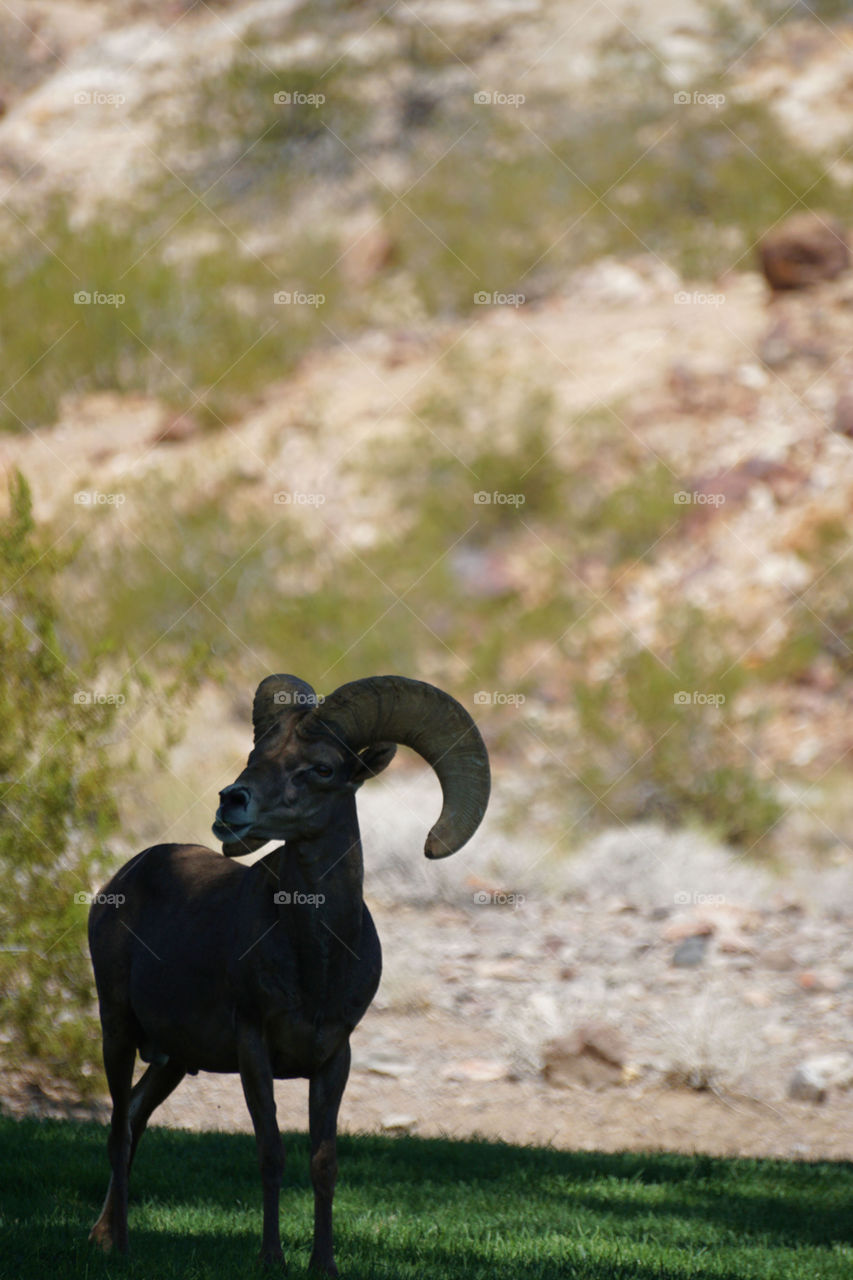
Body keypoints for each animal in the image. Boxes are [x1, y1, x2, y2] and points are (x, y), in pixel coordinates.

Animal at [89, 675, 489, 1274]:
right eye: (256, 757)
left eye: (321, 768)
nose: (231, 802)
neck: (314, 964)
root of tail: (123, 878)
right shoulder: (254, 1047)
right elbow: (271, 1152)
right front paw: (271, 1259)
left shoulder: (333, 1059)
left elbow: (323, 1164)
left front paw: (323, 1264)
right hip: (117, 1030)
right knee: (117, 1128)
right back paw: (118, 1244)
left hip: (174, 1061)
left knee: (134, 1117)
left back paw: (105, 1235)